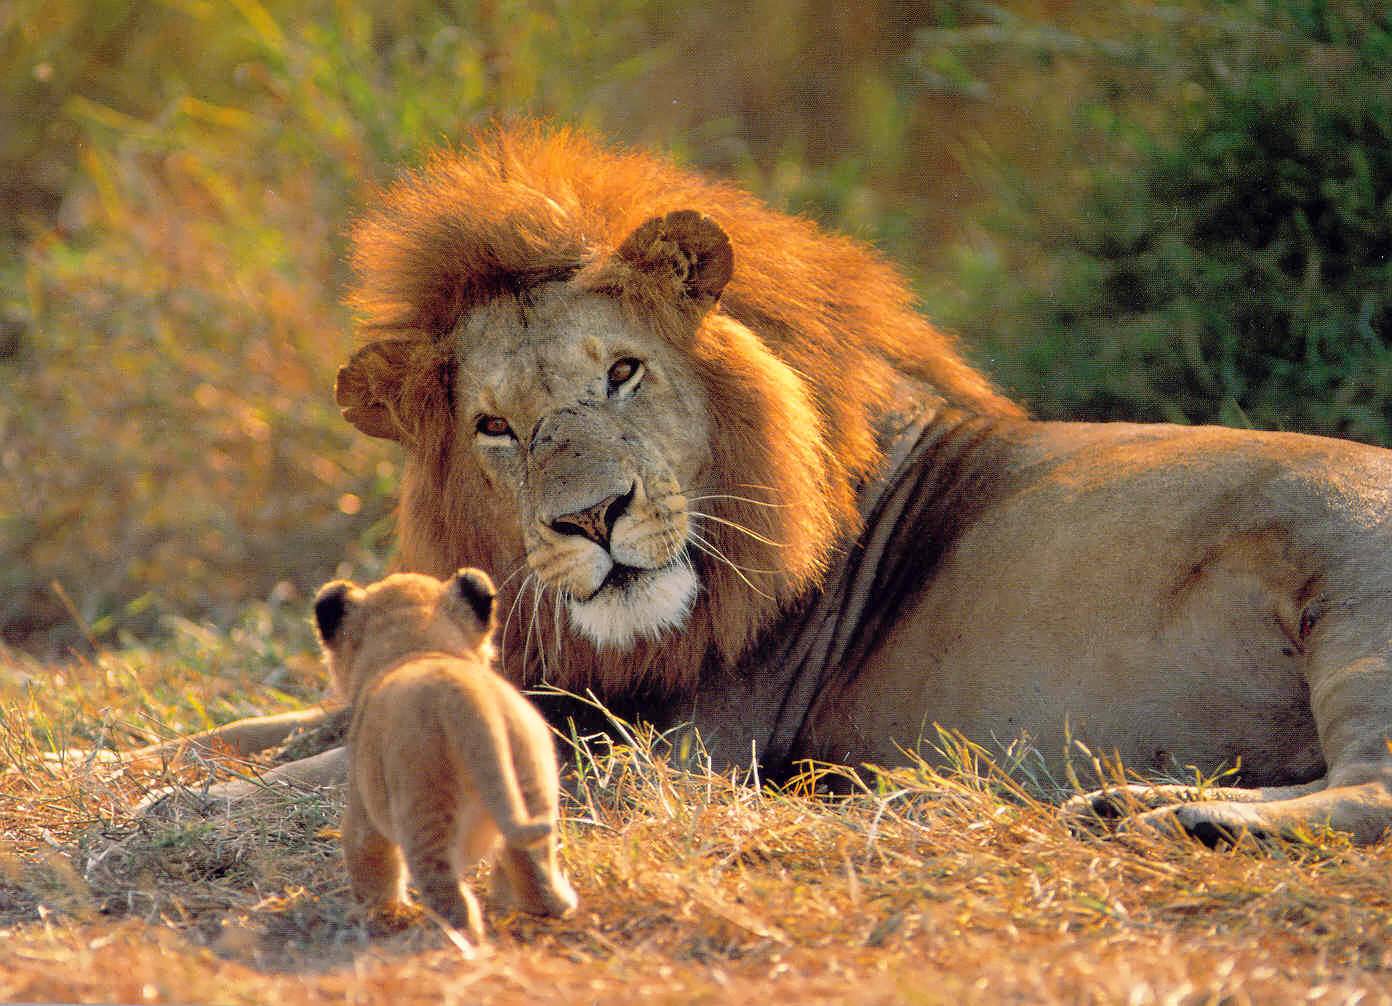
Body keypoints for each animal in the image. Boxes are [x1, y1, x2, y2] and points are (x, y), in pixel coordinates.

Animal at [161, 124, 1392, 847]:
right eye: (495, 428)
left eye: (623, 371)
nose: (591, 518)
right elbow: (277, 720)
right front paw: (142, 760)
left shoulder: (670, 751)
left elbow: (349, 752)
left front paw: (199, 802)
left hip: (1353, 601)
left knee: (1372, 789)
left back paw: (1171, 818)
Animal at [313, 568, 577, 938]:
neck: (419, 648)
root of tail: (467, 701)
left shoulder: (363, 804)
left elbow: (367, 854)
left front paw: (376, 913)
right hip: (531, 781)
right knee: (531, 861)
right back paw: (553, 904)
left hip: (423, 805)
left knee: (446, 889)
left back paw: (452, 936)